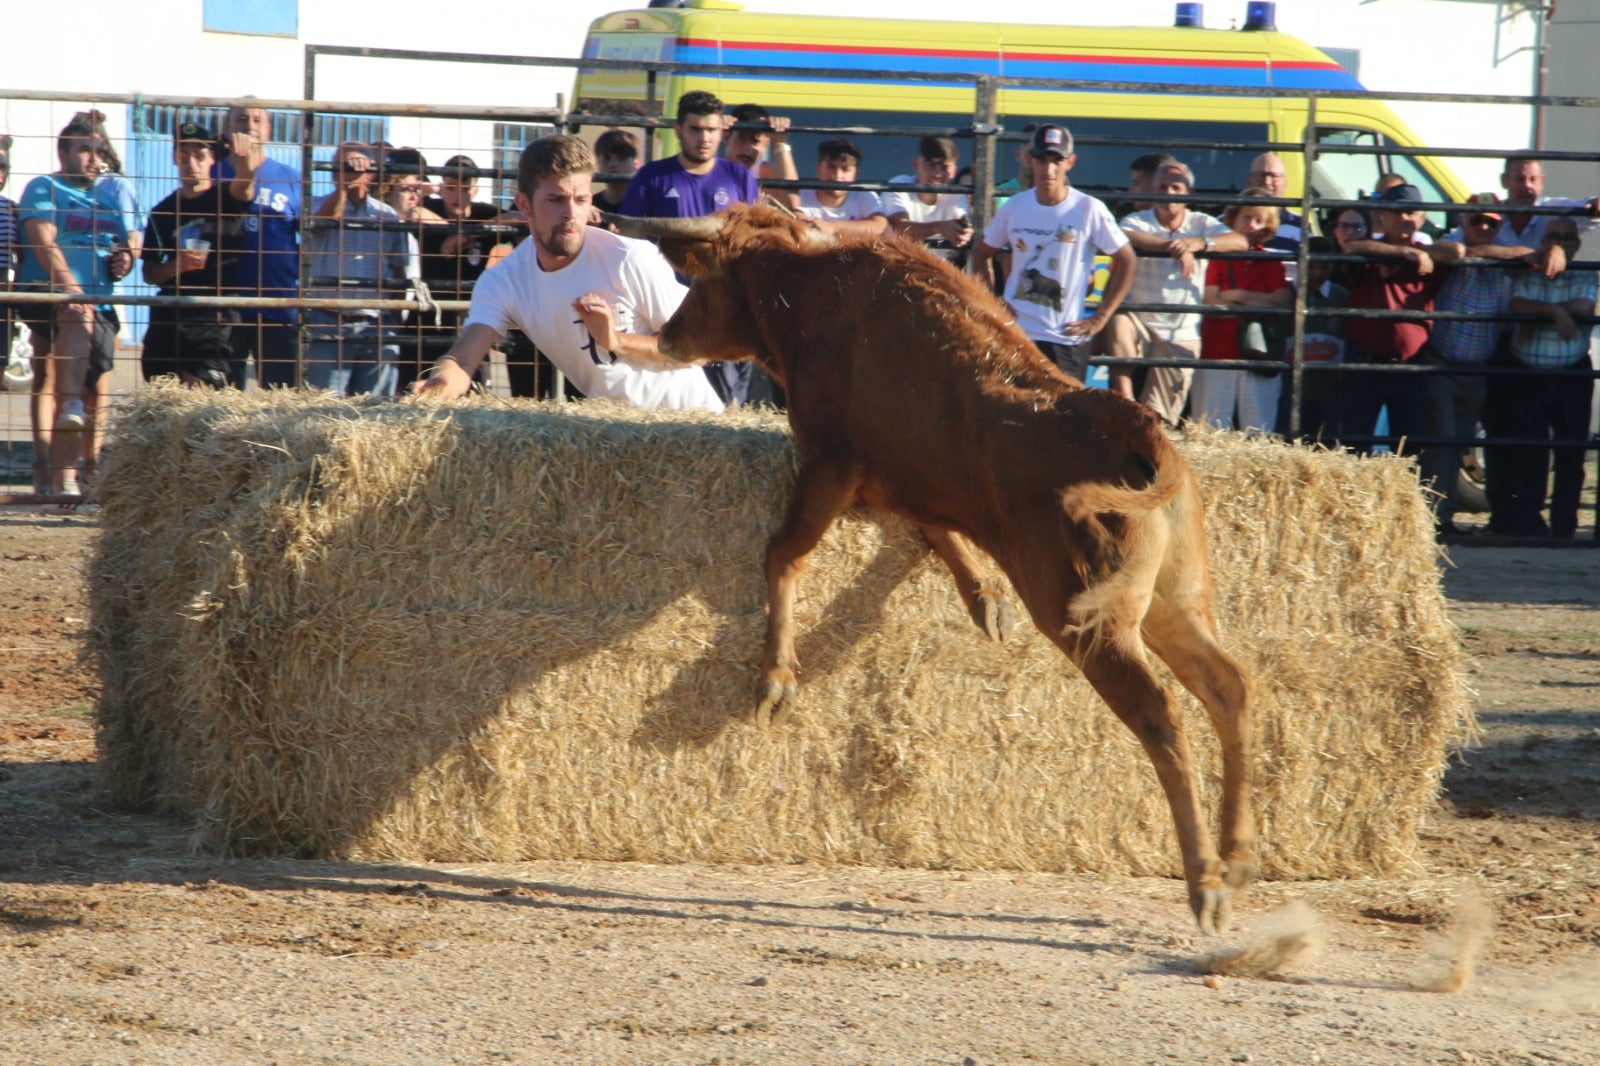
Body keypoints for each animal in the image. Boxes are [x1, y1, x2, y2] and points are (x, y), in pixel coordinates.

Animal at [608, 201, 1248, 928]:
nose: (666, 336)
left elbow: (785, 554)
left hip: (1088, 621)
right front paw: (985, 600)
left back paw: (1205, 881)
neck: (810, 286)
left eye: (700, 281)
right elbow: (932, 530)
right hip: (1174, 601)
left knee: (1160, 715)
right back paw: (1238, 854)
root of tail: (1133, 426)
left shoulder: (831, 463)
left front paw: (776, 677)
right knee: (1228, 688)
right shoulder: (900, 476)